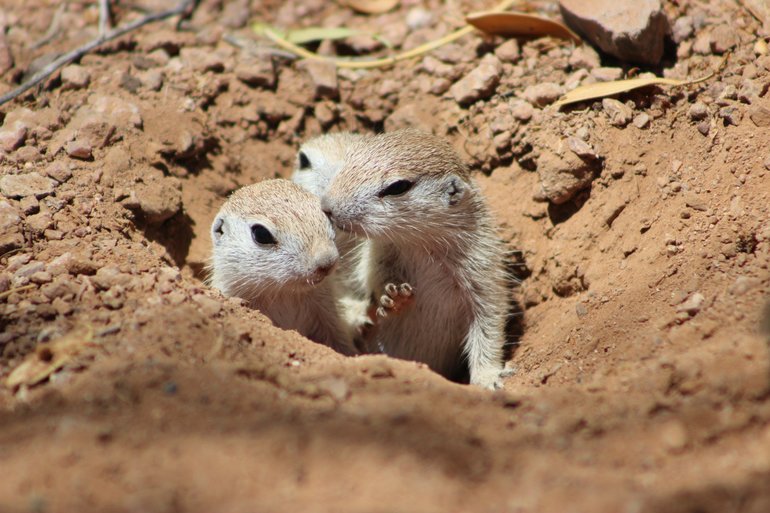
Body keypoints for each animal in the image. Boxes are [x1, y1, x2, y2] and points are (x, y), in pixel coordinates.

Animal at [300, 128, 510, 388]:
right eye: (351, 157)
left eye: (398, 187)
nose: (327, 206)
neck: (419, 243)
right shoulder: (380, 252)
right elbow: (375, 276)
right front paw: (393, 297)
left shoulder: (482, 266)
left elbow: (489, 324)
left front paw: (487, 378)